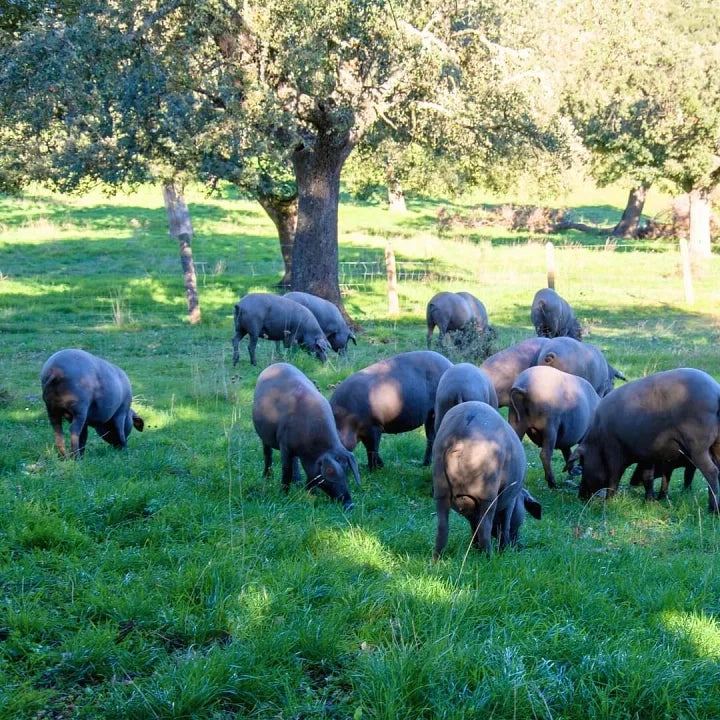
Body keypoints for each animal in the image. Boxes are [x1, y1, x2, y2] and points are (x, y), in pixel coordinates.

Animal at [252, 362, 360, 509]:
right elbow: (286, 469)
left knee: (294, 461)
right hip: (264, 436)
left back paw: (297, 482)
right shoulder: (284, 444)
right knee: (267, 454)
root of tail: (275, 364)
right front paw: (283, 495)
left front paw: (311, 494)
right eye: (329, 472)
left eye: (346, 470)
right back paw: (267, 478)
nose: (350, 504)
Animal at [432, 401, 542, 558]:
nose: (518, 546)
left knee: (442, 527)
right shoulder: (510, 500)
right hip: (488, 495)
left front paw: (474, 548)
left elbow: (474, 528)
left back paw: (437, 559)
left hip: (440, 490)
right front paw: (502, 550)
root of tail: (461, 437)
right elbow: (505, 525)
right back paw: (489, 557)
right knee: (485, 527)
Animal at [568, 368, 720, 513]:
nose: (580, 497)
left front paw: (608, 502)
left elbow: (614, 476)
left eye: (583, 463)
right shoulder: (647, 455)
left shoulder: (614, 450)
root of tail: (716, 392)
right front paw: (649, 501)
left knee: (712, 471)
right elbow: (648, 477)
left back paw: (712, 510)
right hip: (715, 445)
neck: (598, 441)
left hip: (697, 447)